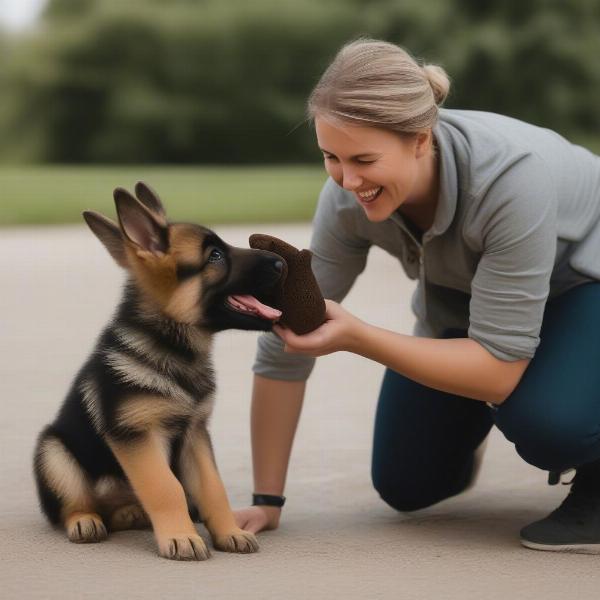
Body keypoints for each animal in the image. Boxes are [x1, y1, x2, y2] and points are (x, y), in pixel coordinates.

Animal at [32, 182, 284, 556]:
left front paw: (229, 531)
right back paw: (85, 520)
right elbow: (166, 488)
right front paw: (181, 536)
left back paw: (128, 513)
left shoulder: (194, 435)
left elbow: (213, 488)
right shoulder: (137, 436)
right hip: (54, 451)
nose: (282, 261)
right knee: (73, 503)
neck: (172, 348)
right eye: (215, 256)